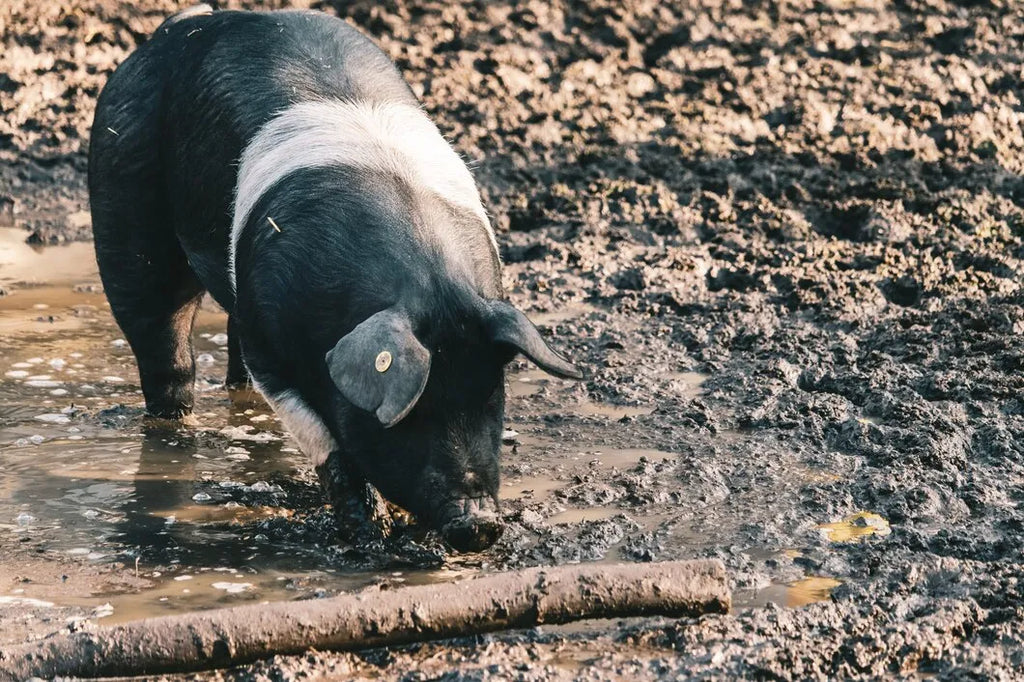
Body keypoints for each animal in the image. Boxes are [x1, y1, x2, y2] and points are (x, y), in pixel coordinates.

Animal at [88, 5, 582, 553]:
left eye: (491, 399)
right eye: (414, 412)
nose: (479, 524)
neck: (423, 286)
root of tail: (182, 25)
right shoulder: (271, 347)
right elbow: (324, 439)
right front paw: (370, 532)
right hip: (124, 204)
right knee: (162, 342)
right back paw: (174, 429)